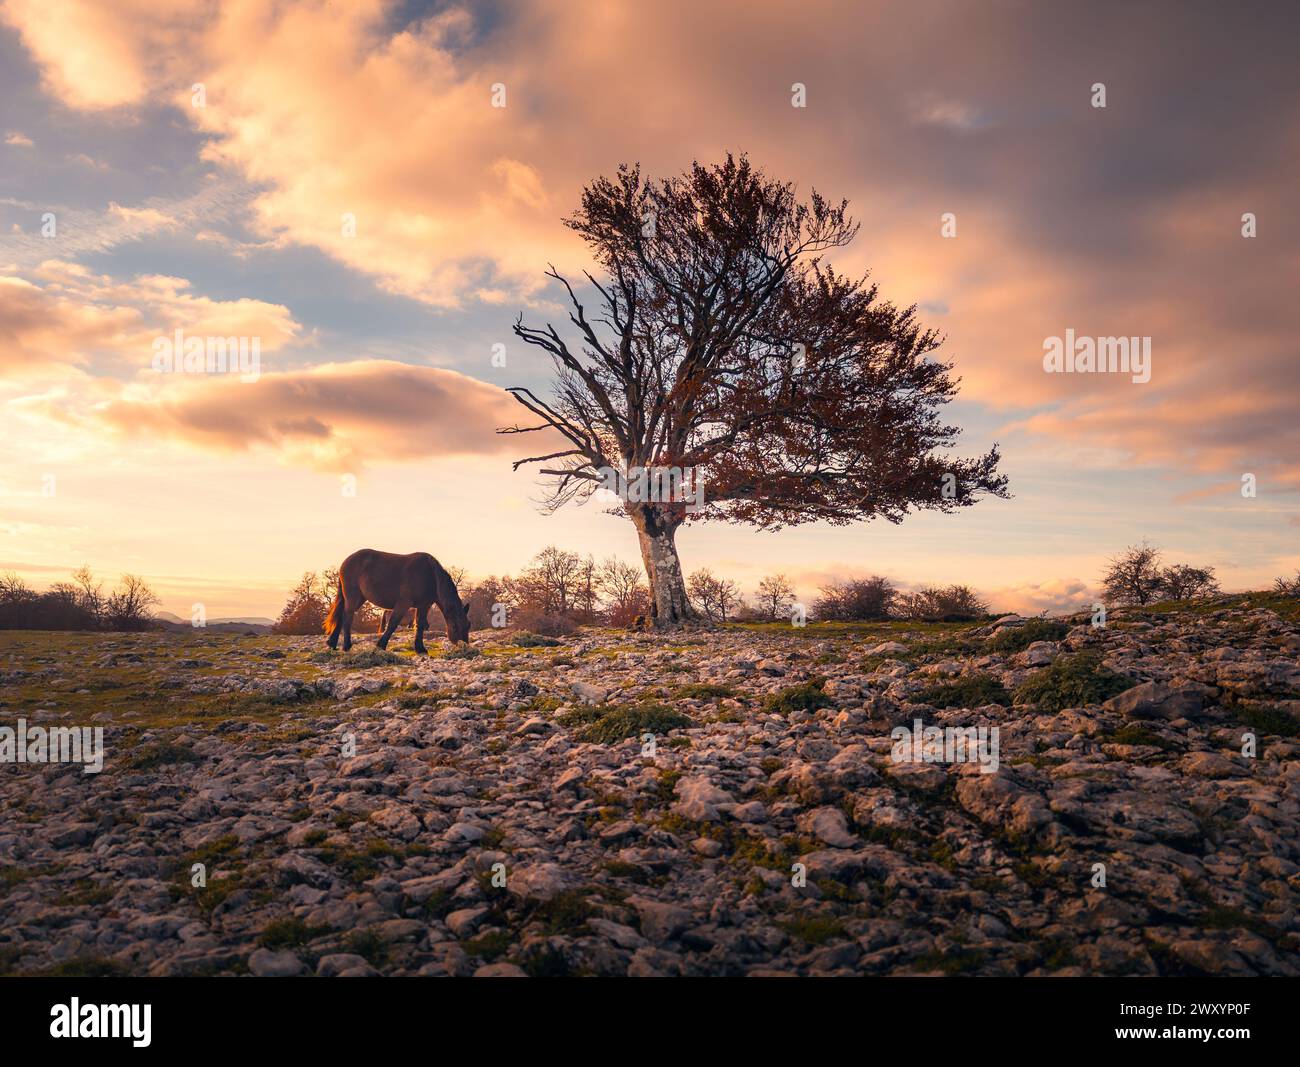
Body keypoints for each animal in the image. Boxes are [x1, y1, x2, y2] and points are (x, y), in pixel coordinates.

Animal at [324, 549, 470, 653]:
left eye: (468, 626)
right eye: (455, 626)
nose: (463, 646)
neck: (430, 576)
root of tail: (346, 561)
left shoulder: (424, 605)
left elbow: (420, 624)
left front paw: (420, 648)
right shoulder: (403, 604)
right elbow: (393, 624)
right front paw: (381, 645)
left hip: (359, 598)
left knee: (341, 615)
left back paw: (332, 644)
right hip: (353, 596)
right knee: (347, 617)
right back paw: (346, 646)